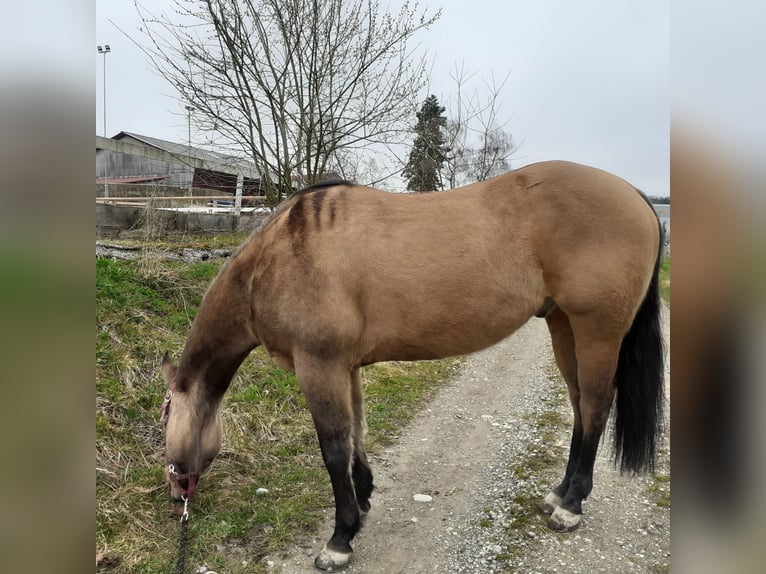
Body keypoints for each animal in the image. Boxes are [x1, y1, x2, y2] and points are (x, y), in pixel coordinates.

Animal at [162, 161, 664, 572]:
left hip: (597, 331)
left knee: (595, 407)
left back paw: (571, 506)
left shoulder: (318, 366)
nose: (176, 496)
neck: (277, 257)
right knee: (579, 406)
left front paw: (340, 540)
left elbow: (333, 448)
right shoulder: (345, 366)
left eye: (164, 417)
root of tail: (636, 195)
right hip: (563, 326)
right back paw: (559, 493)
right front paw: (362, 500)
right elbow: (356, 434)